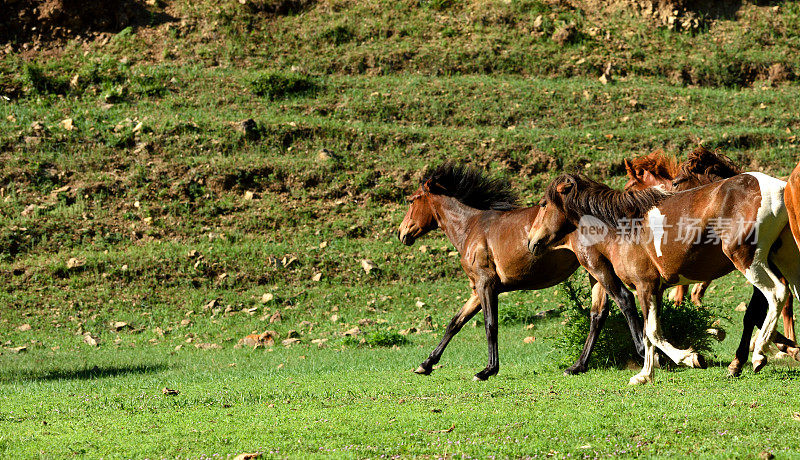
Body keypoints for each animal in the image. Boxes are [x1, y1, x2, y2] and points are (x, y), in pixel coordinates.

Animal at [396, 164, 648, 380]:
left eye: (411, 200)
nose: (401, 233)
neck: (471, 227)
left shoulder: (486, 284)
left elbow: (490, 324)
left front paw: (487, 370)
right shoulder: (477, 290)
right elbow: (455, 323)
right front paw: (426, 364)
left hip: (596, 265)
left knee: (624, 299)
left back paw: (643, 352)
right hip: (593, 271)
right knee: (598, 314)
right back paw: (577, 366)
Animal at [528, 171, 796, 382]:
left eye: (542, 204)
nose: (531, 241)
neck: (623, 227)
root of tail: (780, 187)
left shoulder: (644, 285)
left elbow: (653, 332)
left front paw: (690, 357)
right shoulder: (653, 289)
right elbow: (648, 332)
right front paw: (644, 375)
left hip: (747, 259)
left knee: (777, 294)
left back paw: (758, 354)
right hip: (781, 261)